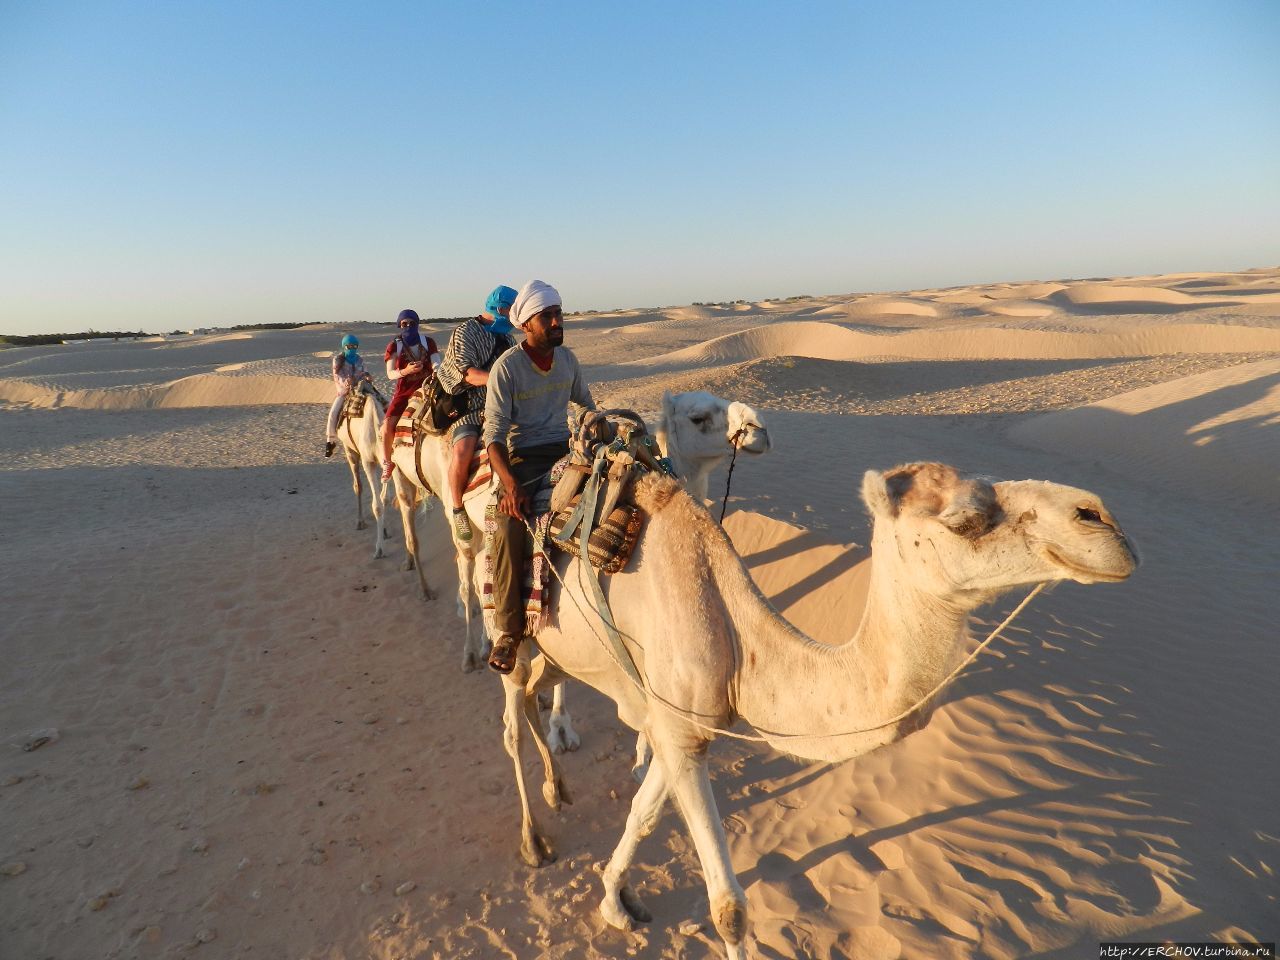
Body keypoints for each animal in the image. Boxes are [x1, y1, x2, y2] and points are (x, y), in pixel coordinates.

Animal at [332, 384, 391, 560]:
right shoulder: (368, 461)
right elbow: (377, 505)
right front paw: (379, 549)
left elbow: (384, 499)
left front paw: (384, 531)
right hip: (349, 449)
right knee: (358, 485)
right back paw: (360, 522)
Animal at [494, 463, 1136, 957]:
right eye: (965, 519)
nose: (1101, 519)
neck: (740, 639)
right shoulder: (678, 729)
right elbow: (729, 909)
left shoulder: (680, 727)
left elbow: (643, 813)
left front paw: (614, 901)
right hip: (507, 617)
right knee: (510, 716)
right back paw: (533, 839)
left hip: (558, 648)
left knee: (535, 689)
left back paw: (557, 787)